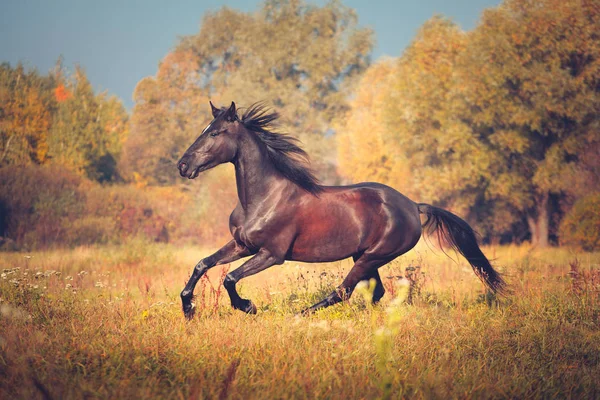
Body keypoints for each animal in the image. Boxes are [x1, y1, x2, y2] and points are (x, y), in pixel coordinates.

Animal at [177, 102, 502, 318]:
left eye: (216, 133)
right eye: (205, 130)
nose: (182, 165)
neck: (263, 198)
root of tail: (412, 205)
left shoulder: (272, 254)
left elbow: (230, 278)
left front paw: (247, 306)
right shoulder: (242, 244)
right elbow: (202, 264)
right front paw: (188, 308)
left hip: (373, 256)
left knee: (343, 291)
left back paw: (300, 315)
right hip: (365, 256)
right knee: (374, 292)